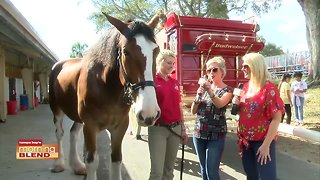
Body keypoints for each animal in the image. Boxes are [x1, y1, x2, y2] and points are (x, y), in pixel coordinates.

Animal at [49, 13, 162, 179]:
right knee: (59, 133)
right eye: (126, 52)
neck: (106, 88)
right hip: (56, 110)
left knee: (73, 133)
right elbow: (92, 161)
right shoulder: (89, 125)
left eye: (156, 50)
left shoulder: (119, 127)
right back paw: (59, 164)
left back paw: (77, 165)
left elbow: (116, 160)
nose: (149, 113)